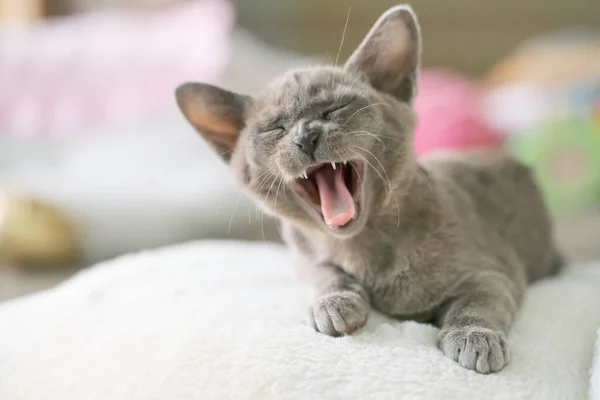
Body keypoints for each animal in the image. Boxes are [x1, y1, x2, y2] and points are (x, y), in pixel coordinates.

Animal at [175, 4, 564, 374]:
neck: (364, 251)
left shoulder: (493, 271)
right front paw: (335, 305)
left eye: (335, 108)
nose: (306, 135)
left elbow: (476, 303)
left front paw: (475, 339)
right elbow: (325, 273)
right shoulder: (303, 257)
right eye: (276, 129)